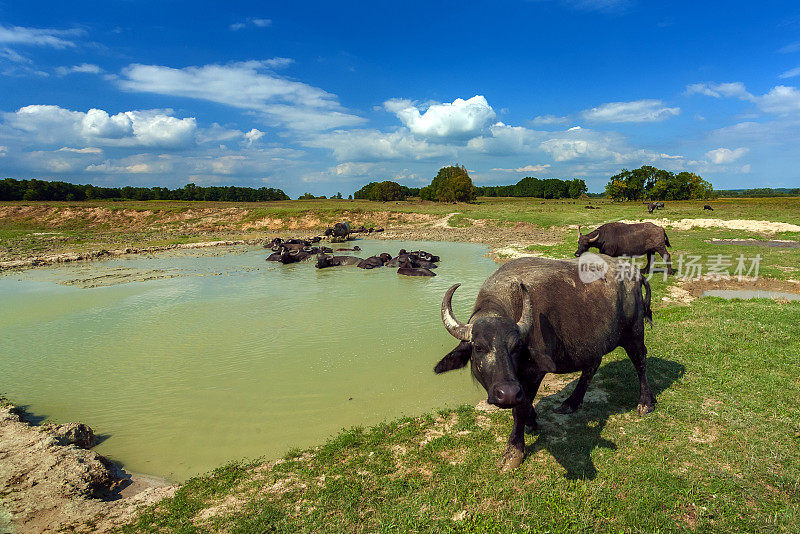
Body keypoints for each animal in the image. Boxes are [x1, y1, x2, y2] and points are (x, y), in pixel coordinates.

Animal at [434, 258, 652, 472]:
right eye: (479, 347)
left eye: (516, 347)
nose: (507, 394)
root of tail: (635, 273)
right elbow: (525, 403)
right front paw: (532, 420)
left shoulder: (534, 373)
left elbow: (520, 409)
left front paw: (514, 451)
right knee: (592, 366)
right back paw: (571, 403)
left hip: (634, 333)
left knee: (640, 361)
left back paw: (645, 403)